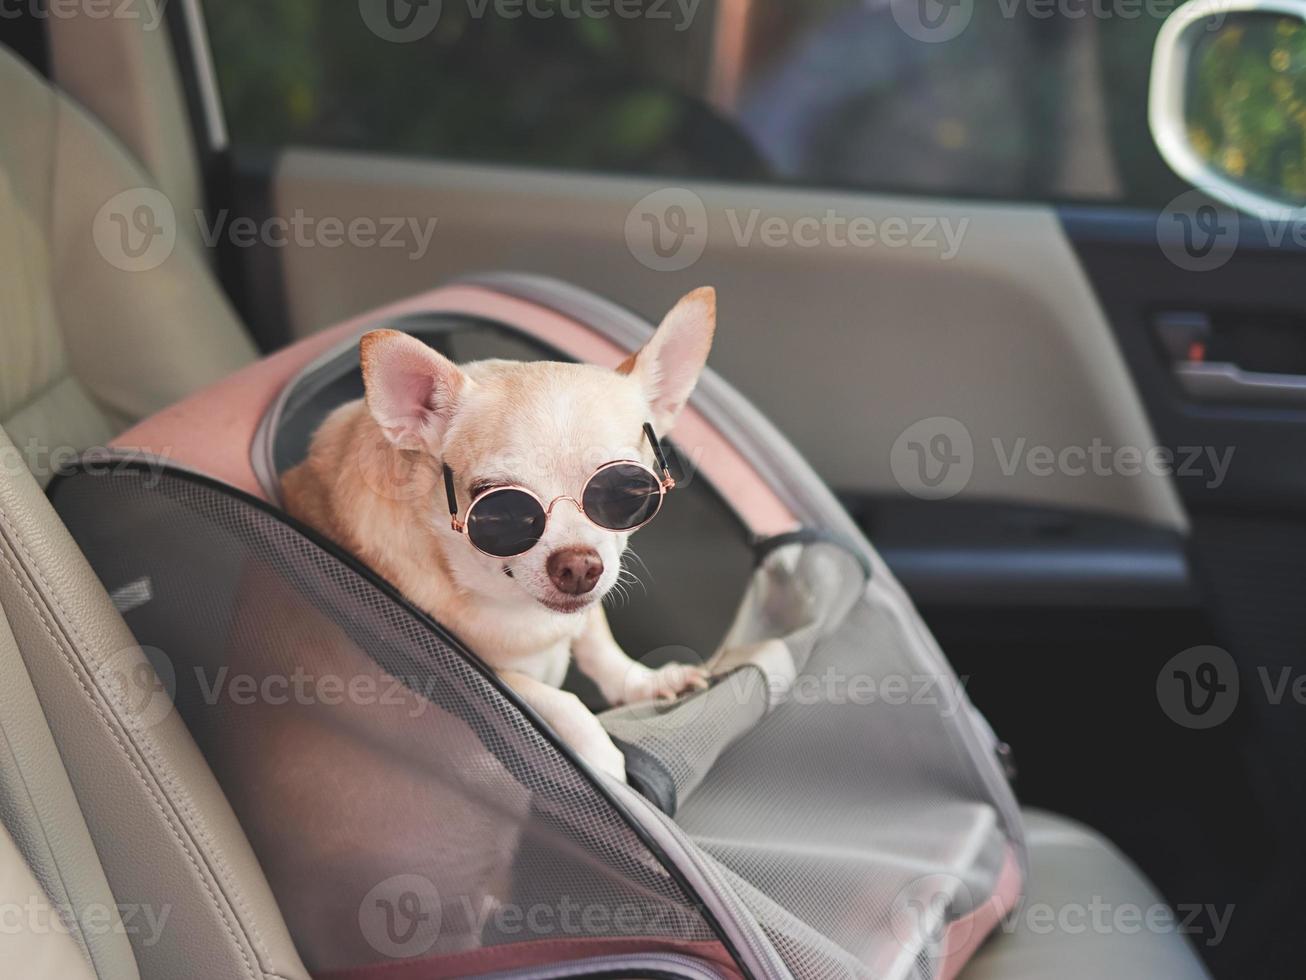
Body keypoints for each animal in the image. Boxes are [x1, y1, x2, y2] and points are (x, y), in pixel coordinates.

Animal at [280, 286, 720, 783]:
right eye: (499, 510)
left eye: (628, 491)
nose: (579, 566)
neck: (520, 612)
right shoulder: (484, 676)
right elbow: (559, 701)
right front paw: (603, 758)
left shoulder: (587, 611)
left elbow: (600, 646)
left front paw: (647, 681)